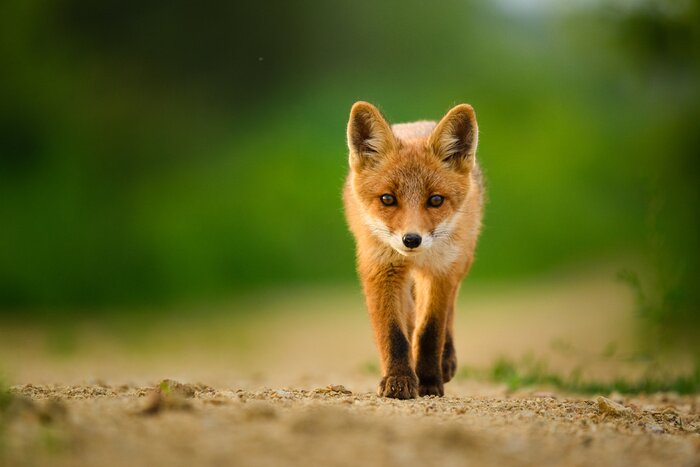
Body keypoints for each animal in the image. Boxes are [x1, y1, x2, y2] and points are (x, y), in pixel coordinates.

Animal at [343, 101, 484, 399]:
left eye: (436, 200)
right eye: (387, 199)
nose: (411, 240)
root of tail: (417, 123)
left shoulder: (441, 270)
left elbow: (431, 330)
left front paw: (429, 380)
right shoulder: (381, 269)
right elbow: (393, 333)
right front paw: (399, 379)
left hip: (461, 259)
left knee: (448, 308)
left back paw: (446, 360)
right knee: (408, 316)